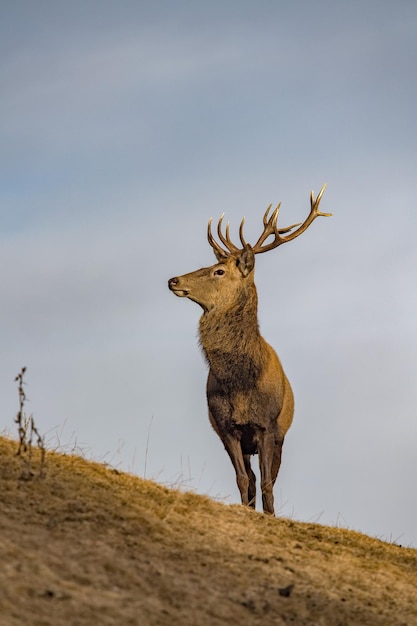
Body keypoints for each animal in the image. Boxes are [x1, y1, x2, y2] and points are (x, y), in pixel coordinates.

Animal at [167, 184, 330, 512]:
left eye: (218, 271)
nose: (173, 280)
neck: (241, 382)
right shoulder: (226, 428)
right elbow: (244, 480)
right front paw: (247, 511)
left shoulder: (267, 425)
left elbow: (268, 483)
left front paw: (271, 517)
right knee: (252, 478)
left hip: (280, 436)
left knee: (269, 479)